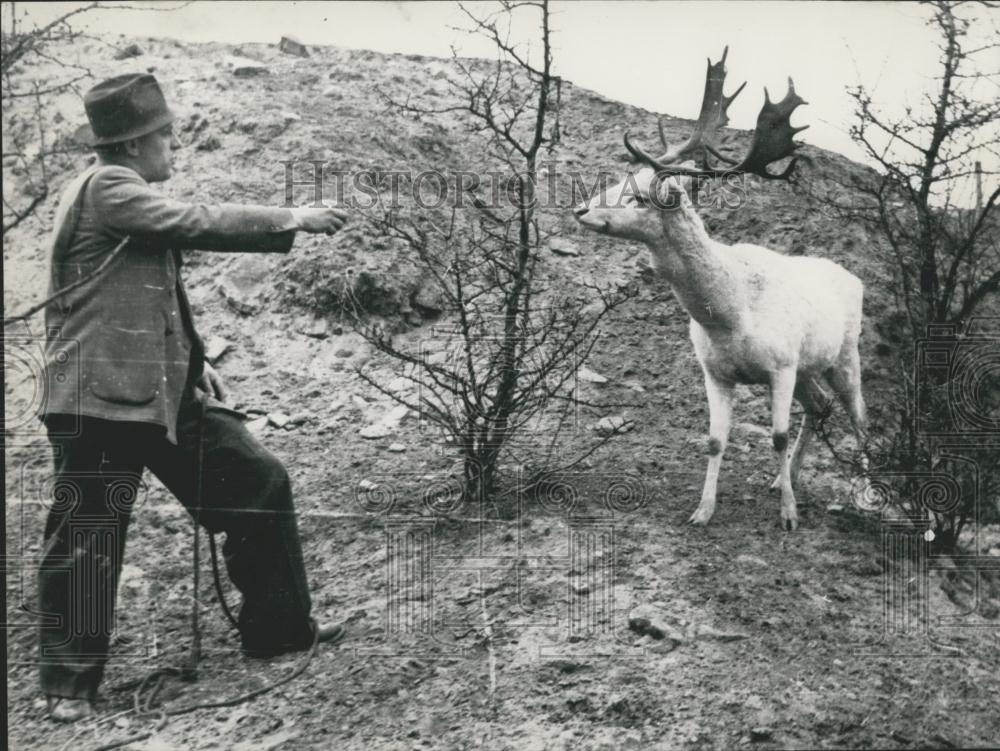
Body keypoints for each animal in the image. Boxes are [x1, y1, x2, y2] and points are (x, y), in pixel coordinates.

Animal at [576, 48, 872, 528]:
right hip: (809, 366)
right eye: (620, 181)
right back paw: (782, 478)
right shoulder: (715, 371)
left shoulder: (781, 365)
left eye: (638, 196)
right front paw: (702, 511)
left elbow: (776, 435)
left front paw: (789, 516)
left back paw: (864, 494)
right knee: (821, 406)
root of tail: (854, 279)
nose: (580, 208)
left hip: (845, 354)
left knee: (860, 416)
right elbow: (715, 440)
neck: (730, 315)